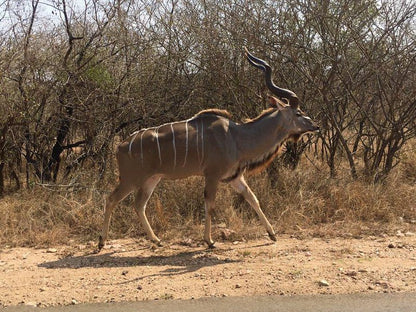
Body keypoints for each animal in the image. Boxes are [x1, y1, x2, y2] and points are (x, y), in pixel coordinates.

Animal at [97, 48, 318, 250]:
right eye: (298, 113)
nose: (315, 126)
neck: (237, 137)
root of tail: (120, 146)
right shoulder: (212, 175)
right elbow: (210, 205)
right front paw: (209, 241)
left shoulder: (235, 177)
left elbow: (252, 198)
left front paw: (272, 234)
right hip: (131, 179)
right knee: (111, 199)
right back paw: (101, 242)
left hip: (152, 179)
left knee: (139, 205)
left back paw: (157, 240)